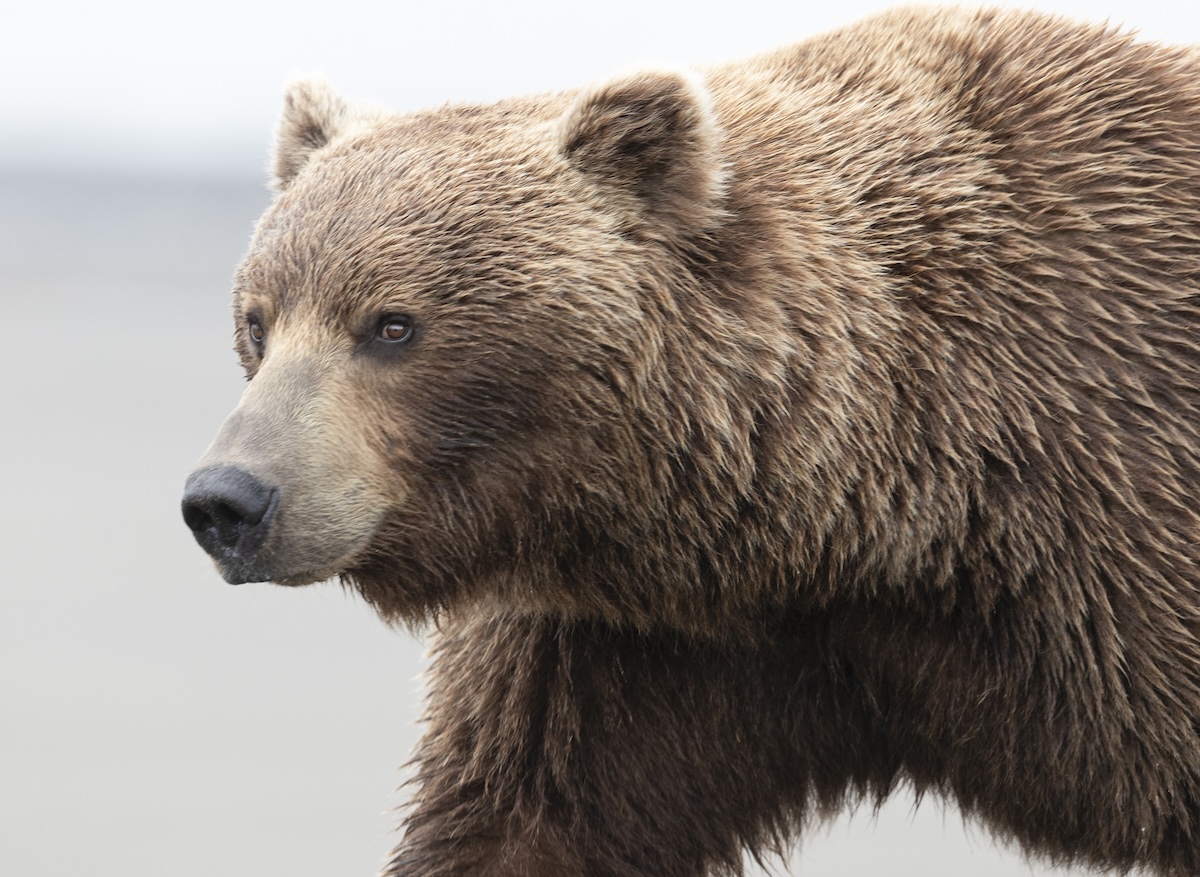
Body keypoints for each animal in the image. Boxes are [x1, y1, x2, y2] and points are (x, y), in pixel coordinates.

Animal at [181, 6, 1200, 875]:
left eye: (392, 324)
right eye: (259, 321)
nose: (228, 498)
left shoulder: (1121, 535)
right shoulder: (636, 645)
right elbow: (519, 817)